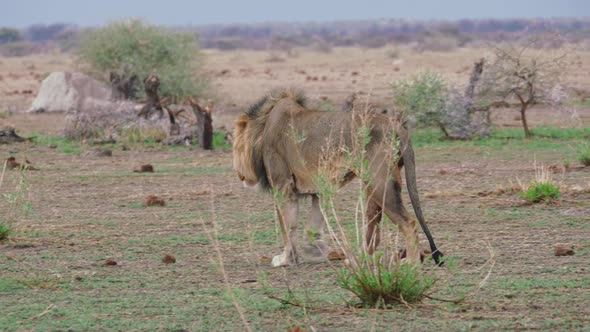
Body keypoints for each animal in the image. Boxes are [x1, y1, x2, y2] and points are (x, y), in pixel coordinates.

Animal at [231, 88, 444, 268]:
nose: (239, 174)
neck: (263, 127)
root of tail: (397, 126)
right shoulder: (317, 189)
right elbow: (313, 222)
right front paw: (313, 250)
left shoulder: (283, 185)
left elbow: (287, 225)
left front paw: (285, 259)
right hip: (375, 183)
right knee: (373, 226)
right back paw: (360, 260)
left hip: (379, 182)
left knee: (408, 222)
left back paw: (411, 263)